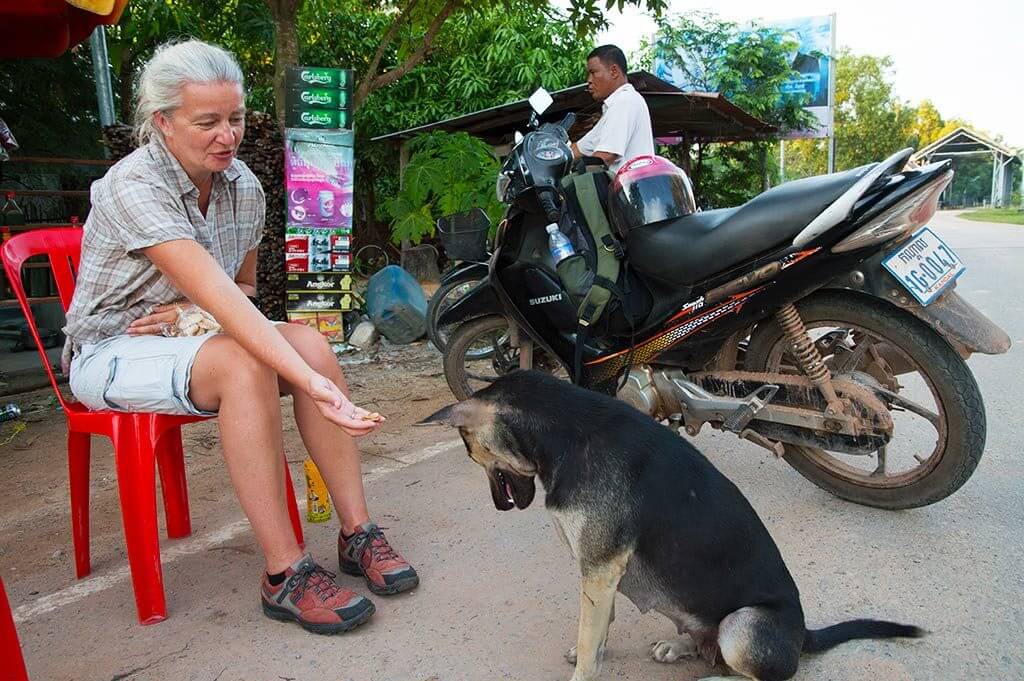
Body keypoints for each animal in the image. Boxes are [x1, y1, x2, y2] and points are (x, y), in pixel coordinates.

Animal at [419, 372, 925, 679]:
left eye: (470, 450)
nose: (499, 508)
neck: (567, 433)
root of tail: (803, 634)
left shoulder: (599, 569)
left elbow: (590, 635)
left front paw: (584, 666)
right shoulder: (600, 573)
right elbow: (598, 628)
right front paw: (591, 650)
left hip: (743, 625)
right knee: (703, 642)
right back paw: (679, 647)